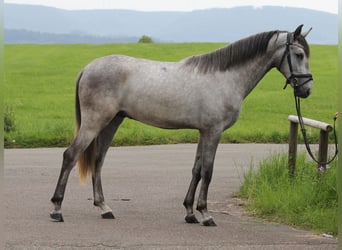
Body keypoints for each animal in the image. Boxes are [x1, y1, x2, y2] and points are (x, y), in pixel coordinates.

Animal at [50, 25, 312, 227]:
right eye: (299, 54)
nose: (307, 89)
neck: (225, 77)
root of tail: (88, 68)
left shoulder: (203, 132)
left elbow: (196, 170)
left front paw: (189, 213)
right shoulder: (213, 132)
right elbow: (208, 171)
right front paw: (205, 214)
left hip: (111, 122)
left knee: (98, 160)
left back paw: (104, 208)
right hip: (95, 122)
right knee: (70, 156)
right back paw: (57, 210)